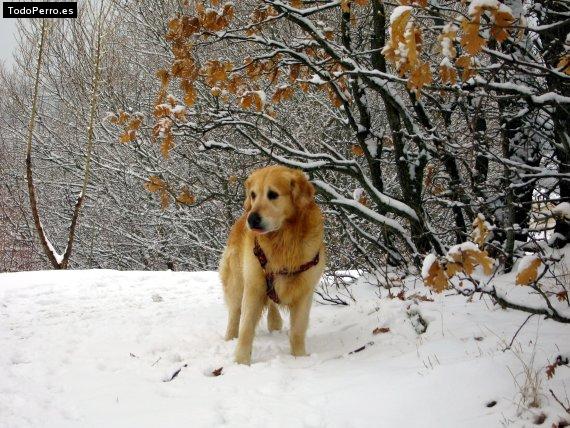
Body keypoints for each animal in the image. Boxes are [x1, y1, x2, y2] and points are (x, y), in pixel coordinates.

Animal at [217, 166, 324, 366]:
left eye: (273, 194)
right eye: (253, 195)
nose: (252, 219)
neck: (283, 239)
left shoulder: (305, 291)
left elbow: (298, 330)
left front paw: (299, 357)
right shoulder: (253, 286)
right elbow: (246, 328)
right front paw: (241, 362)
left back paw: (275, 324)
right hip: (236, 283)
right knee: (235, 313)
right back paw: (230, 338)